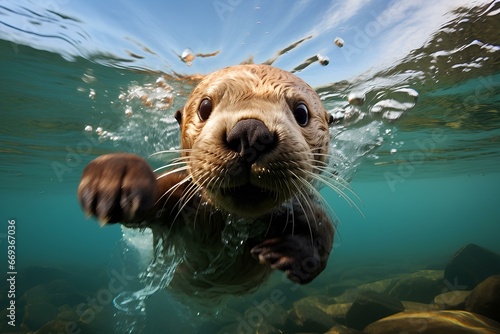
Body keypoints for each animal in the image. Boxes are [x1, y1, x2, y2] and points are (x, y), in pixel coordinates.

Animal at [77, 64, 336, 298]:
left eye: (302, 112)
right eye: (204, 106)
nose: (251, 132)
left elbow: (324, 227)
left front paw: (292, 250)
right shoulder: (178, 193)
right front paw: (115, 178)